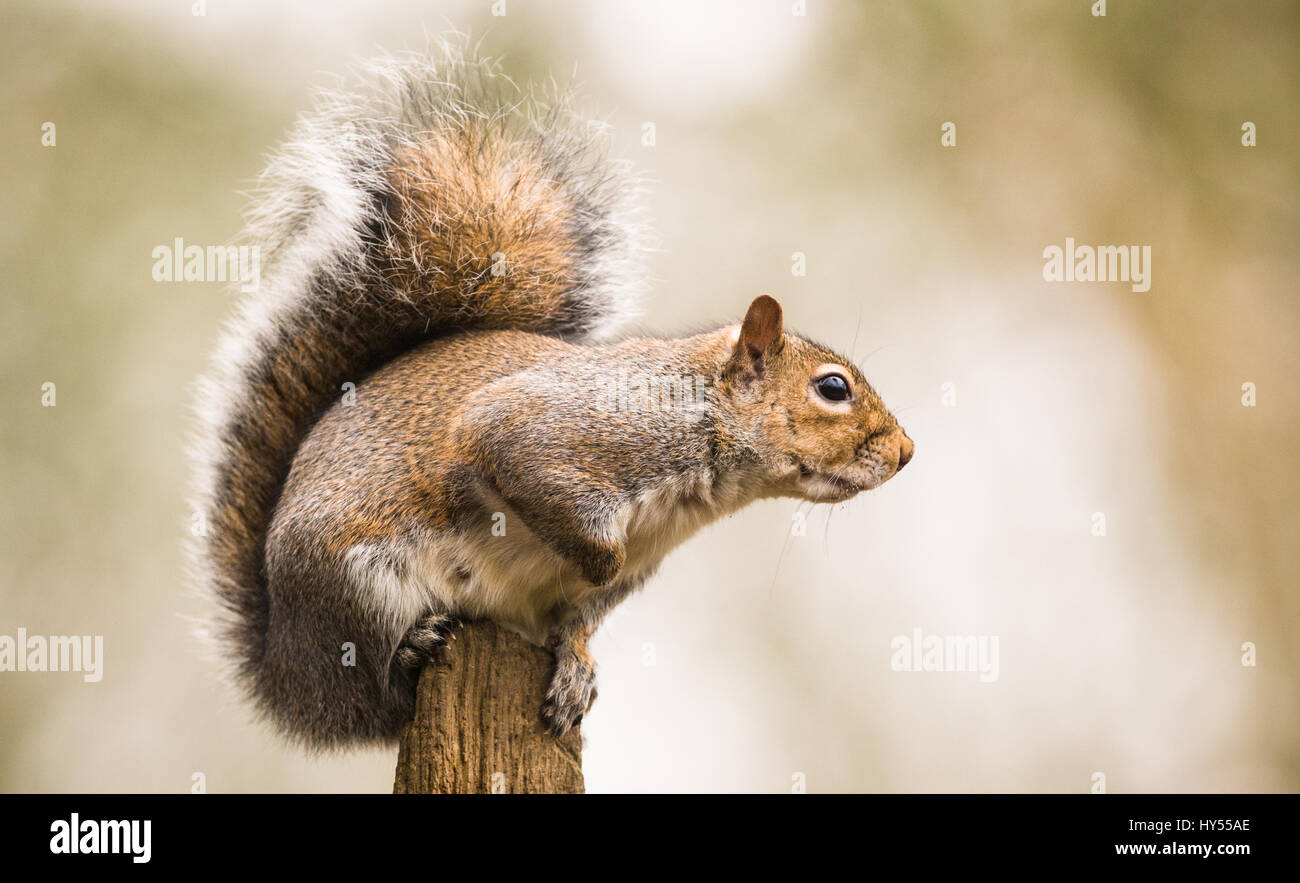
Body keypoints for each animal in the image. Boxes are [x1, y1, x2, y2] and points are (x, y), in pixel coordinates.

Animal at [190, 43, 913, 750]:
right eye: (833, 388)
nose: (906, 452)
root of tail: (287, 677)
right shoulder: (555, 433)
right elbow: (534, 480)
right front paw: (587, 555)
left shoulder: (631, 568)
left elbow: (579, 620)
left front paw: (575, 669)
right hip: (356, 581)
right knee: (375, 698)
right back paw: (410, 650)